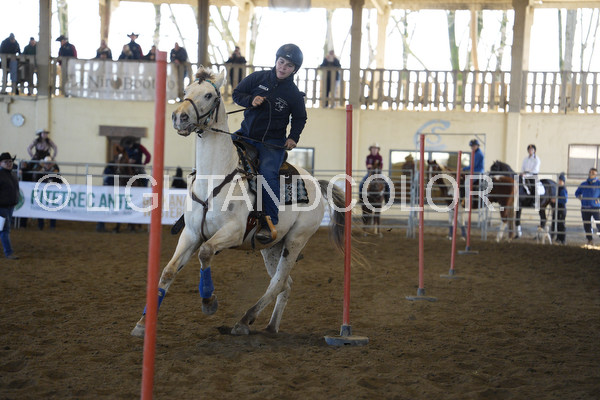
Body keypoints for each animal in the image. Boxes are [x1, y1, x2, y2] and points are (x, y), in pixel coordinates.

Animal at [131, 67, 348, 338]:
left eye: (209, 95)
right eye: (186, 90)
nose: (179, 116)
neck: (214, 177)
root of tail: (316, 182)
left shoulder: (232, 231)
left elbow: (205, 252)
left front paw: (209, 302)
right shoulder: (191, 233)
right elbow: (168, 271)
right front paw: (142, 324)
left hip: (296, 240)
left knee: (278, 282)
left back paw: (244, 321)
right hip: (272, 246)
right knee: (285, 284)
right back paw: (270, 326)